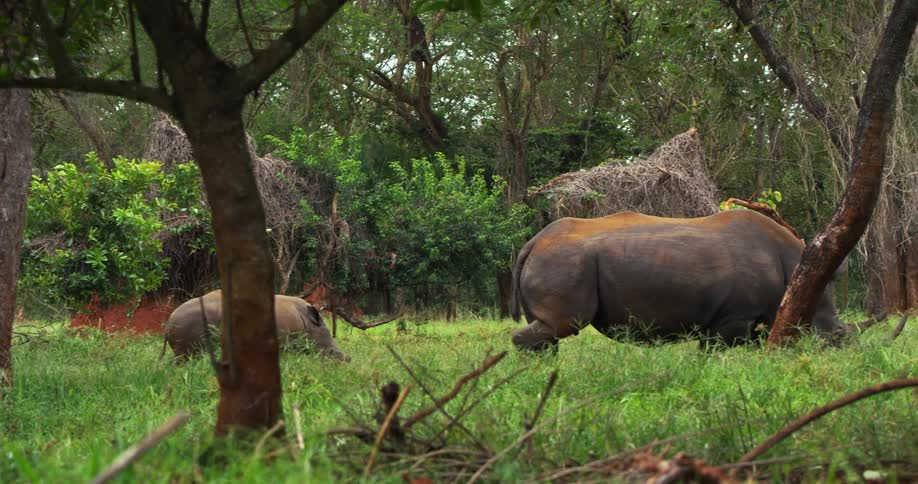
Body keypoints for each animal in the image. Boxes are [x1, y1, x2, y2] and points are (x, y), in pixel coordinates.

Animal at [510, 210, 854, 351]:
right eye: (835, 336)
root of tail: (534, 242)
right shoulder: (736, 315)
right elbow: (713, 353)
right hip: (564, 261)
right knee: (564, 324)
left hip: (557, 259)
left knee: (548, 330)